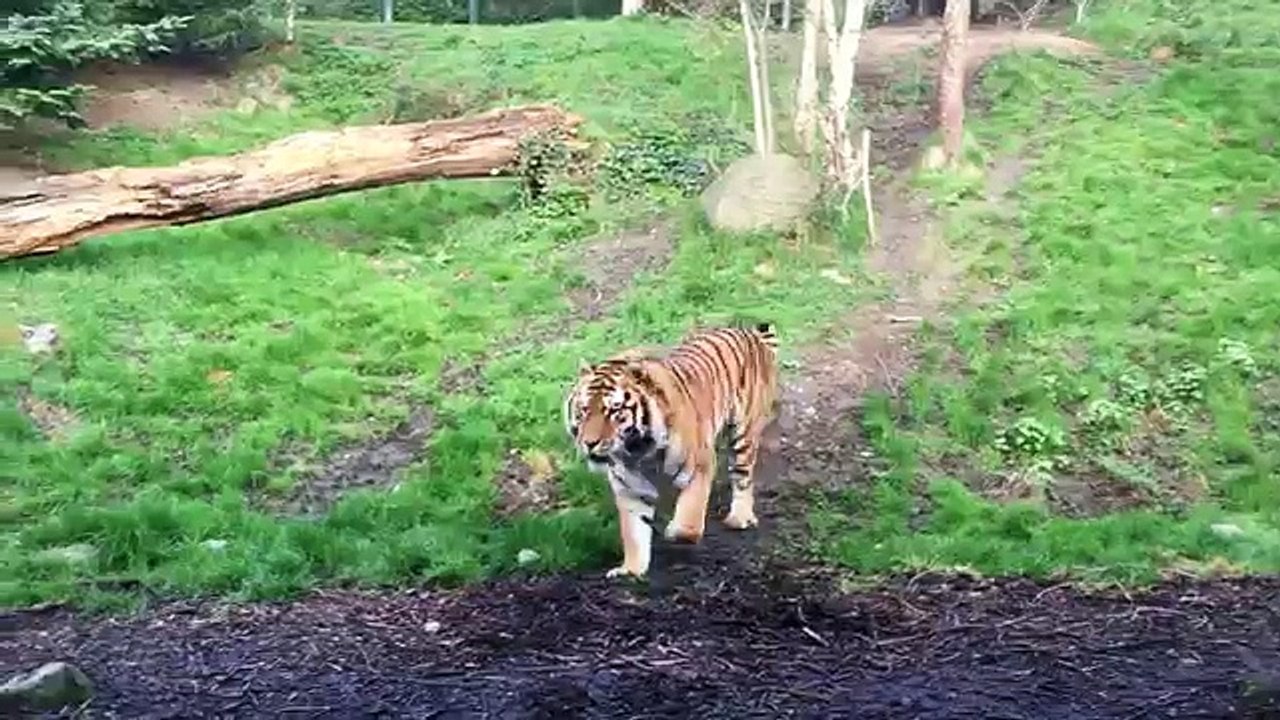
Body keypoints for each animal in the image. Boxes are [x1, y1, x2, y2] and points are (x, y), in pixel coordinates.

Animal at [563, 323, 780, 579]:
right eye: (583, 410)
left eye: (614, 410)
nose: (589, 442)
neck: (639, 452)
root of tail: (747, 330)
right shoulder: (629, 489)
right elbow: (633, 533)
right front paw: (631, 570)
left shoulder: (701, 466)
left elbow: (690, 517)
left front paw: (676, 531)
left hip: (744, 433)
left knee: (743, 477)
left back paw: (739, 517)